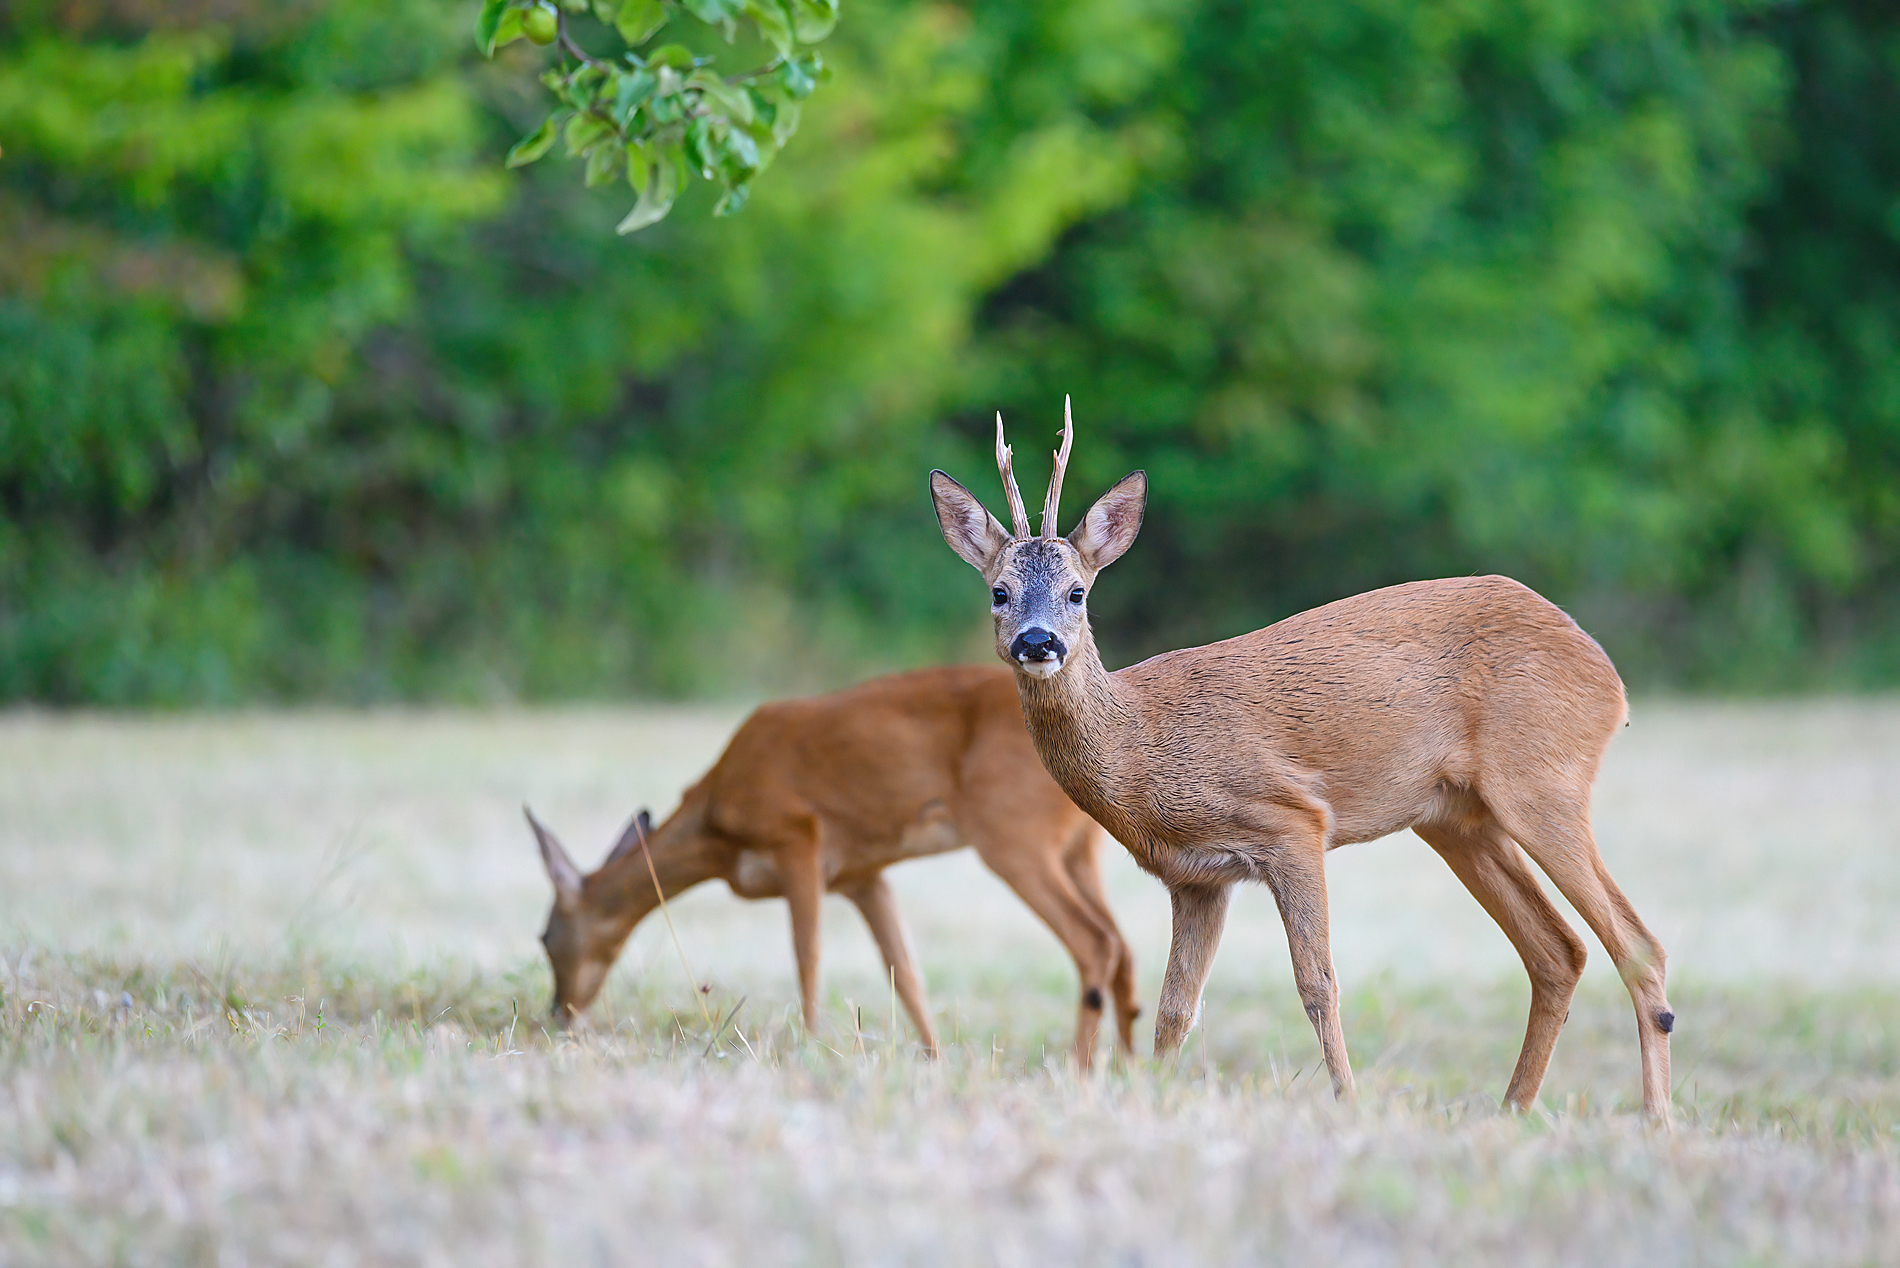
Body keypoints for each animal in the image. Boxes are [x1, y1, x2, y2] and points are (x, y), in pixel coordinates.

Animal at [528, 669, 1132, 1064]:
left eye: (545, 936)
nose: (558, 1012)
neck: (714, 823)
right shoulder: (863, 876)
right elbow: (906, 972)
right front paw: (934, 1059)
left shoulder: (798, 836)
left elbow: (808, 955)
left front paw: (812, 1045)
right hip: (1080, 849)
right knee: (1123, 944)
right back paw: (1132, 1062)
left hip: (1012, 834)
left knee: (1095, 941)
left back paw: (1081, 1068)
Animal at [927, 401, 1672, 1117]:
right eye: (998, 591)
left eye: (1078, 592)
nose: (1037, 641)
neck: (1138, 743)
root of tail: (1609, 676)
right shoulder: (1197, 878)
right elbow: (1176, 1008)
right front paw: (1155, 1096)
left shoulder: (1292, 823)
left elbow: (1318, 983)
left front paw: (1348, 1103)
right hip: (1456, 818)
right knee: (1558, 951)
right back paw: (1512, 1109)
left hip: (1541, 779)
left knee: (1637, 944)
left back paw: (1655, 1119)